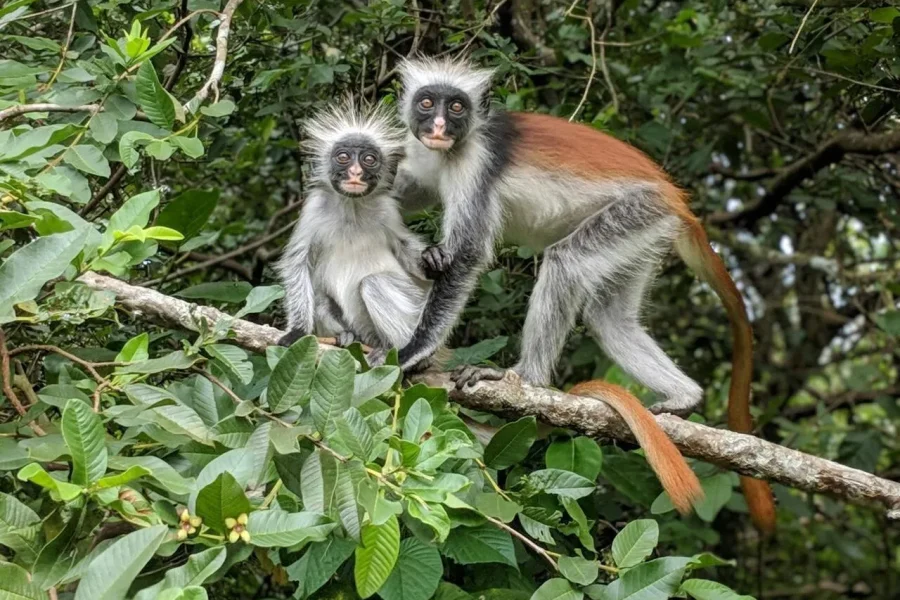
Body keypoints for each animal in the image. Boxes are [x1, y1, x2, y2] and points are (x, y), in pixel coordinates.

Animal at [275, 101, 430, 352]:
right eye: (343, 157)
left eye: (368, 159)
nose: (356, 172)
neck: (352, 207)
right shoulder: (313, 208)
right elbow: (298, 264)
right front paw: (297, 331)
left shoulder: (388, 210)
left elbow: (404, 247)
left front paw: (433, 261)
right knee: (321, 298)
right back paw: (347, 336)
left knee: (374, 282)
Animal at [390, 57, 775, 533]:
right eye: (427, 103)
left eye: (456, 106)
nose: (440, 125)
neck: (454, 146)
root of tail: (676, 198)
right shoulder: (427, 155)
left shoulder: (475, 163)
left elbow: (468, 256)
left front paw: (412, 352)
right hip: (646, 233)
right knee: (611, 319)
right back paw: (684, 397)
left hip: (636, 212)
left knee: (565, 262)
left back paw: (527, 379)